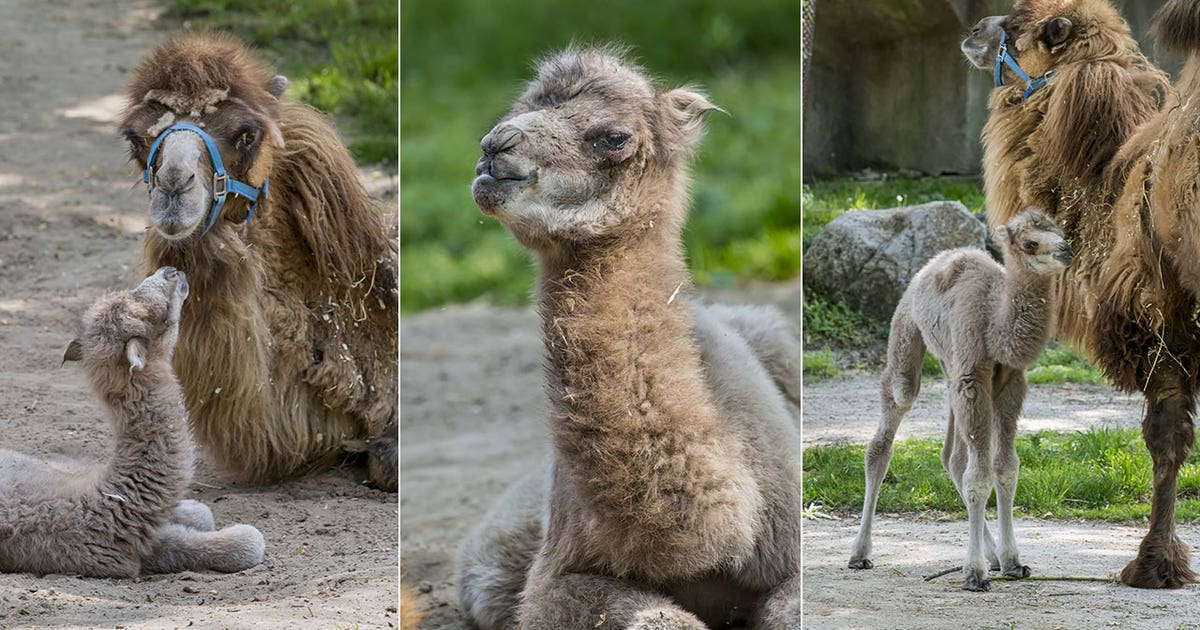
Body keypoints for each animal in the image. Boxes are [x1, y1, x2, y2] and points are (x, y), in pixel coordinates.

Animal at [0, 267, 264, 577]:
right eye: (161, 317)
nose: (171, 271)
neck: (109, 498)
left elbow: (200, 513)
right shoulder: (127, 553)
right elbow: (241, 543)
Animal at [848, 209, 1073, 591]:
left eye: (1061, 231)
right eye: (1030, 243)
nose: (1067, 250)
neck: (995, 323)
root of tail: (926, 269)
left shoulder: (1010, 381)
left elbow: (1005, 468)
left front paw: (1012, 561)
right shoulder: (972, 376)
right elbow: (979, 476)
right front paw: (974, 573)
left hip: (950, 367)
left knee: (952, 456)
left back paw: (994, 555)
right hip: (908, 333)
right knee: (890, 422)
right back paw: (859, 553)